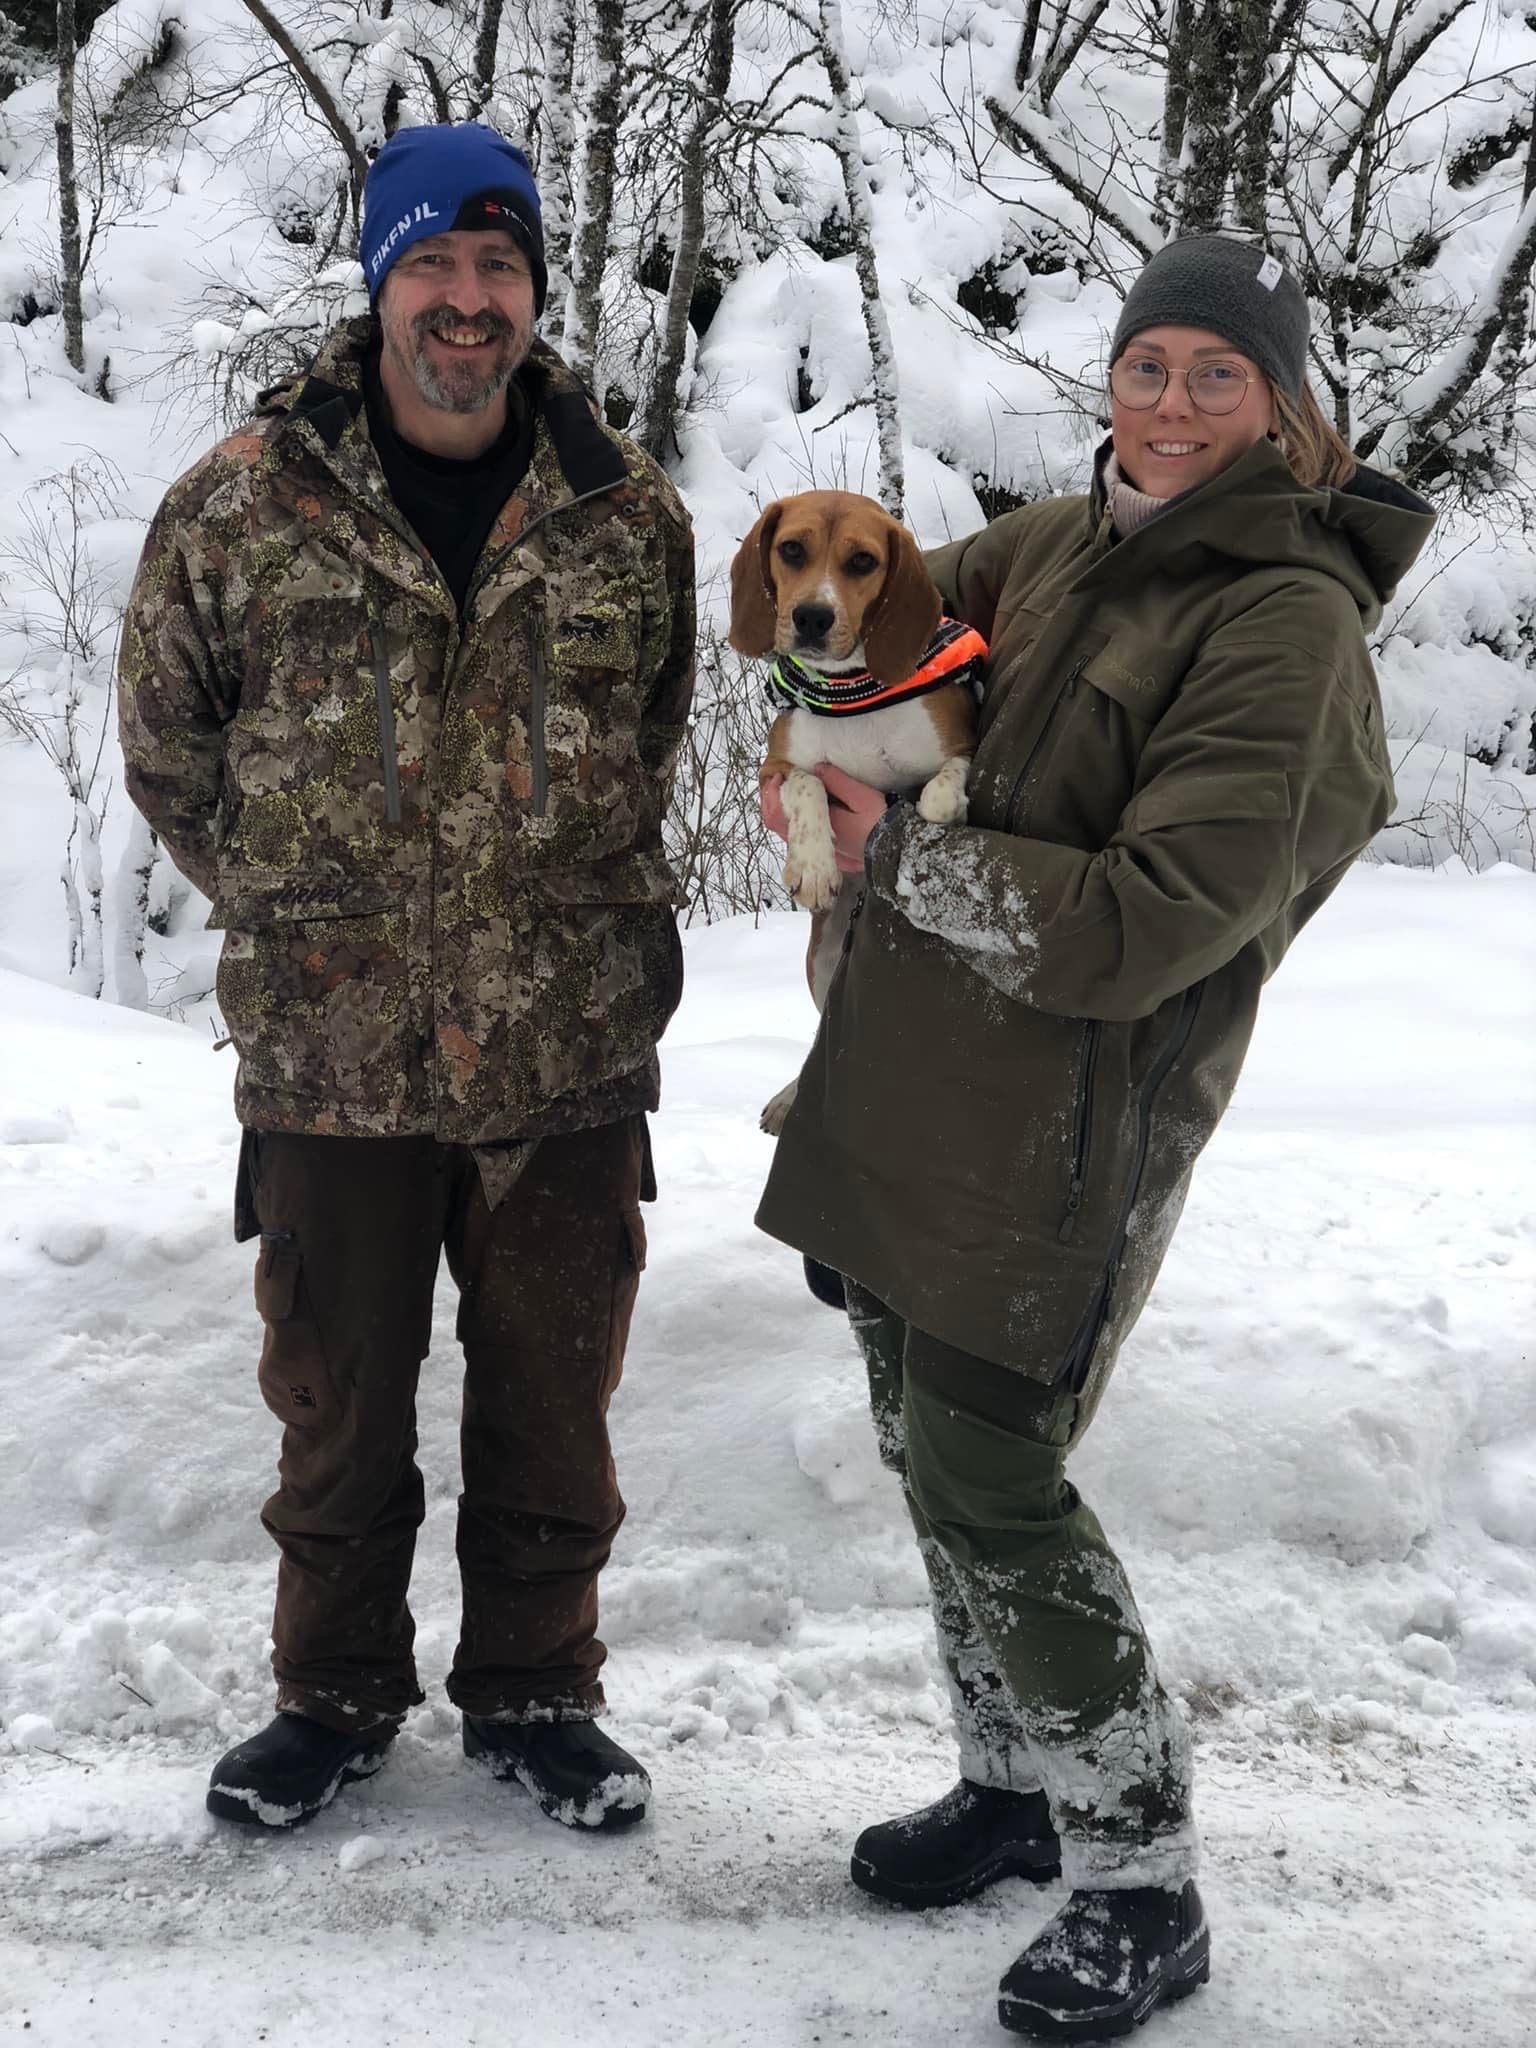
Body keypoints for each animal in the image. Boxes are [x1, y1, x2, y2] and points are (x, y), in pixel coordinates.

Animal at [728, 490, 985, 1133]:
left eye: (863, 561)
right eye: (792, 549)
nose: (812, 617)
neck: (853, 691)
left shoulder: (960, 745)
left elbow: (939, 785)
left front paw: (939, 808)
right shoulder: (775, 769)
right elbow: (808, 788)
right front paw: (815, 865)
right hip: (821, 961)